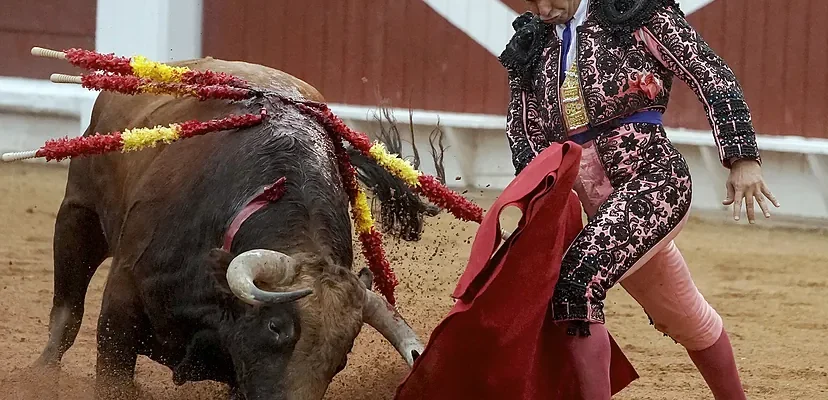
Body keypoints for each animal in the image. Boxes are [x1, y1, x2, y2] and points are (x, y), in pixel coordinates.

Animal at [35, 58, 426, 400]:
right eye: (275, 327)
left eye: (342, 356)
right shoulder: (120, 308)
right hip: (79, 213)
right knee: (67, 312)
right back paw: (38, 374)